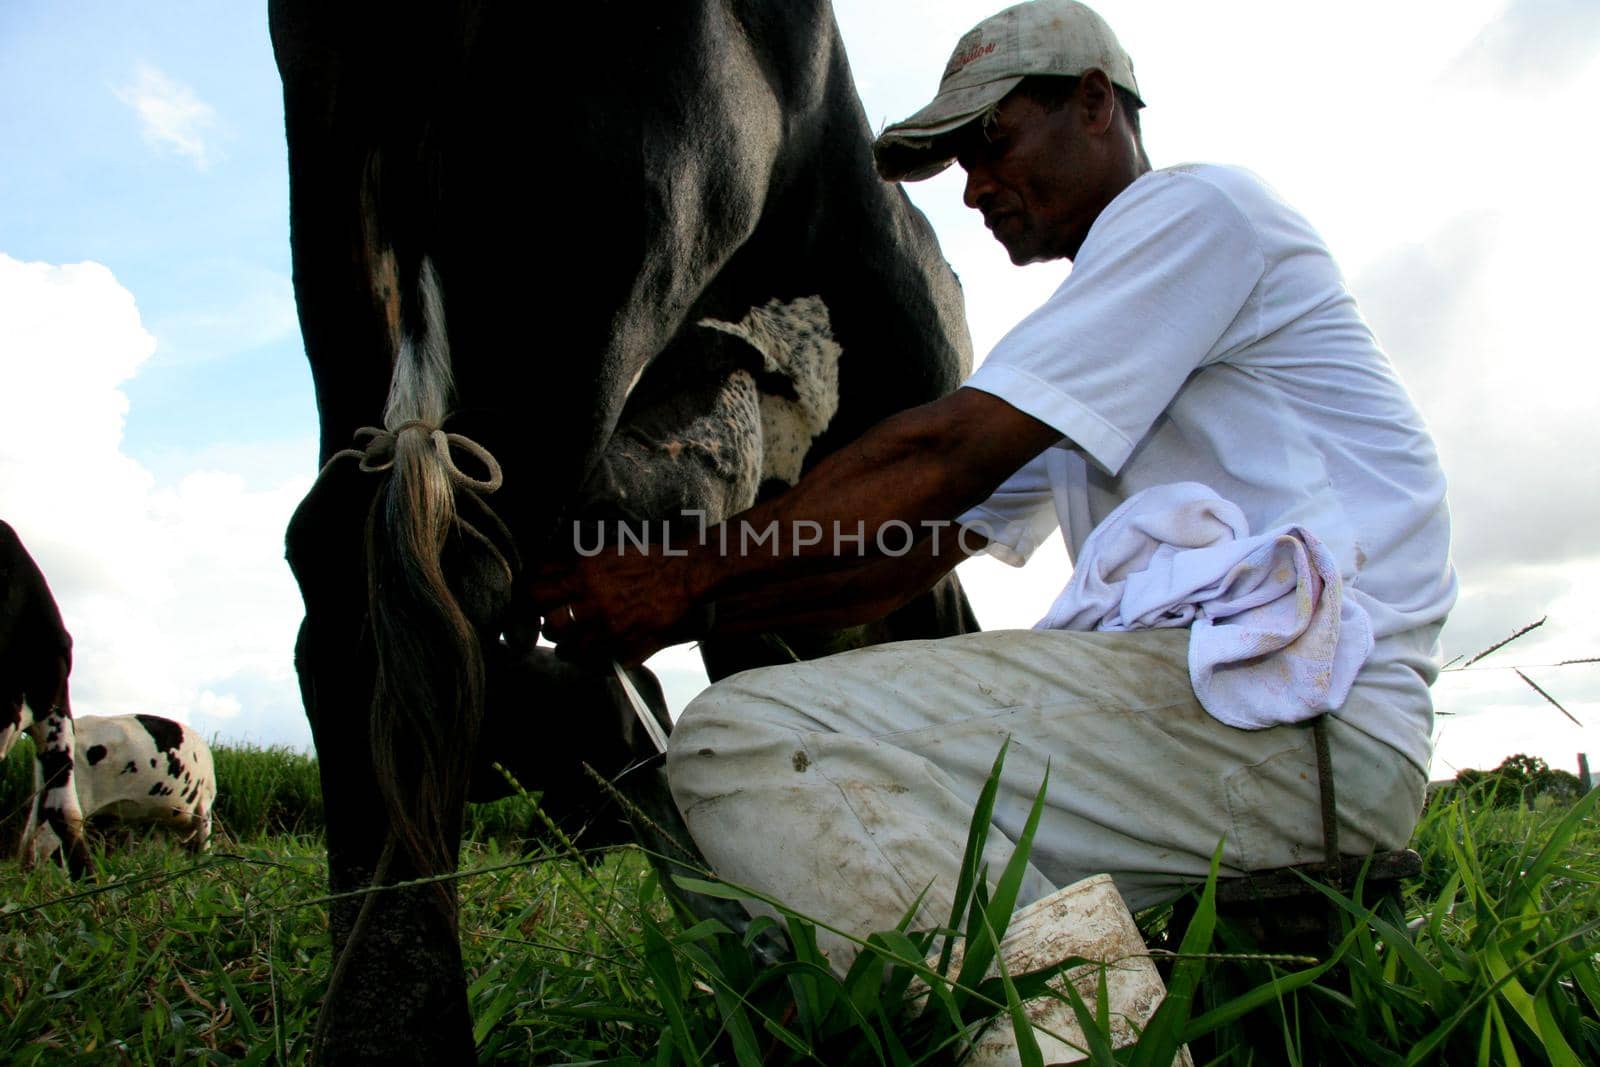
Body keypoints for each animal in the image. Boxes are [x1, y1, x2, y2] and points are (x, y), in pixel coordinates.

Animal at [18, 713, 217, 863]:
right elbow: (205, 847)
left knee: (29, 840)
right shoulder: (205, 807)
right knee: (44, 844)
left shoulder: (157, 819)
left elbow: (159, 852)